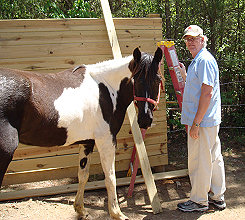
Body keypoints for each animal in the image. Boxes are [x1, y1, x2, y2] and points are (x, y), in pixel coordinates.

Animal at [0, 47, 163, 219]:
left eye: (157, 79)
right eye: (135, 79)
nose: (145, 120)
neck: (105, 88)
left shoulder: (87, 143)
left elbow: (83, 176)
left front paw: (80, 209)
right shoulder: (106, 141)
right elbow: (110, 178)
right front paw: (117, 213)